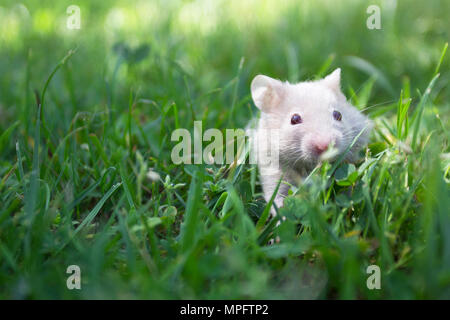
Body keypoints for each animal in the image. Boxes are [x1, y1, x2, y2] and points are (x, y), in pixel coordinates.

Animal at [250, 68, 372, 214]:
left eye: (338, 115)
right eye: (294, 119)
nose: (325, 146)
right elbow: (277, 196)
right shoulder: (273, 169)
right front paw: (282, 215)